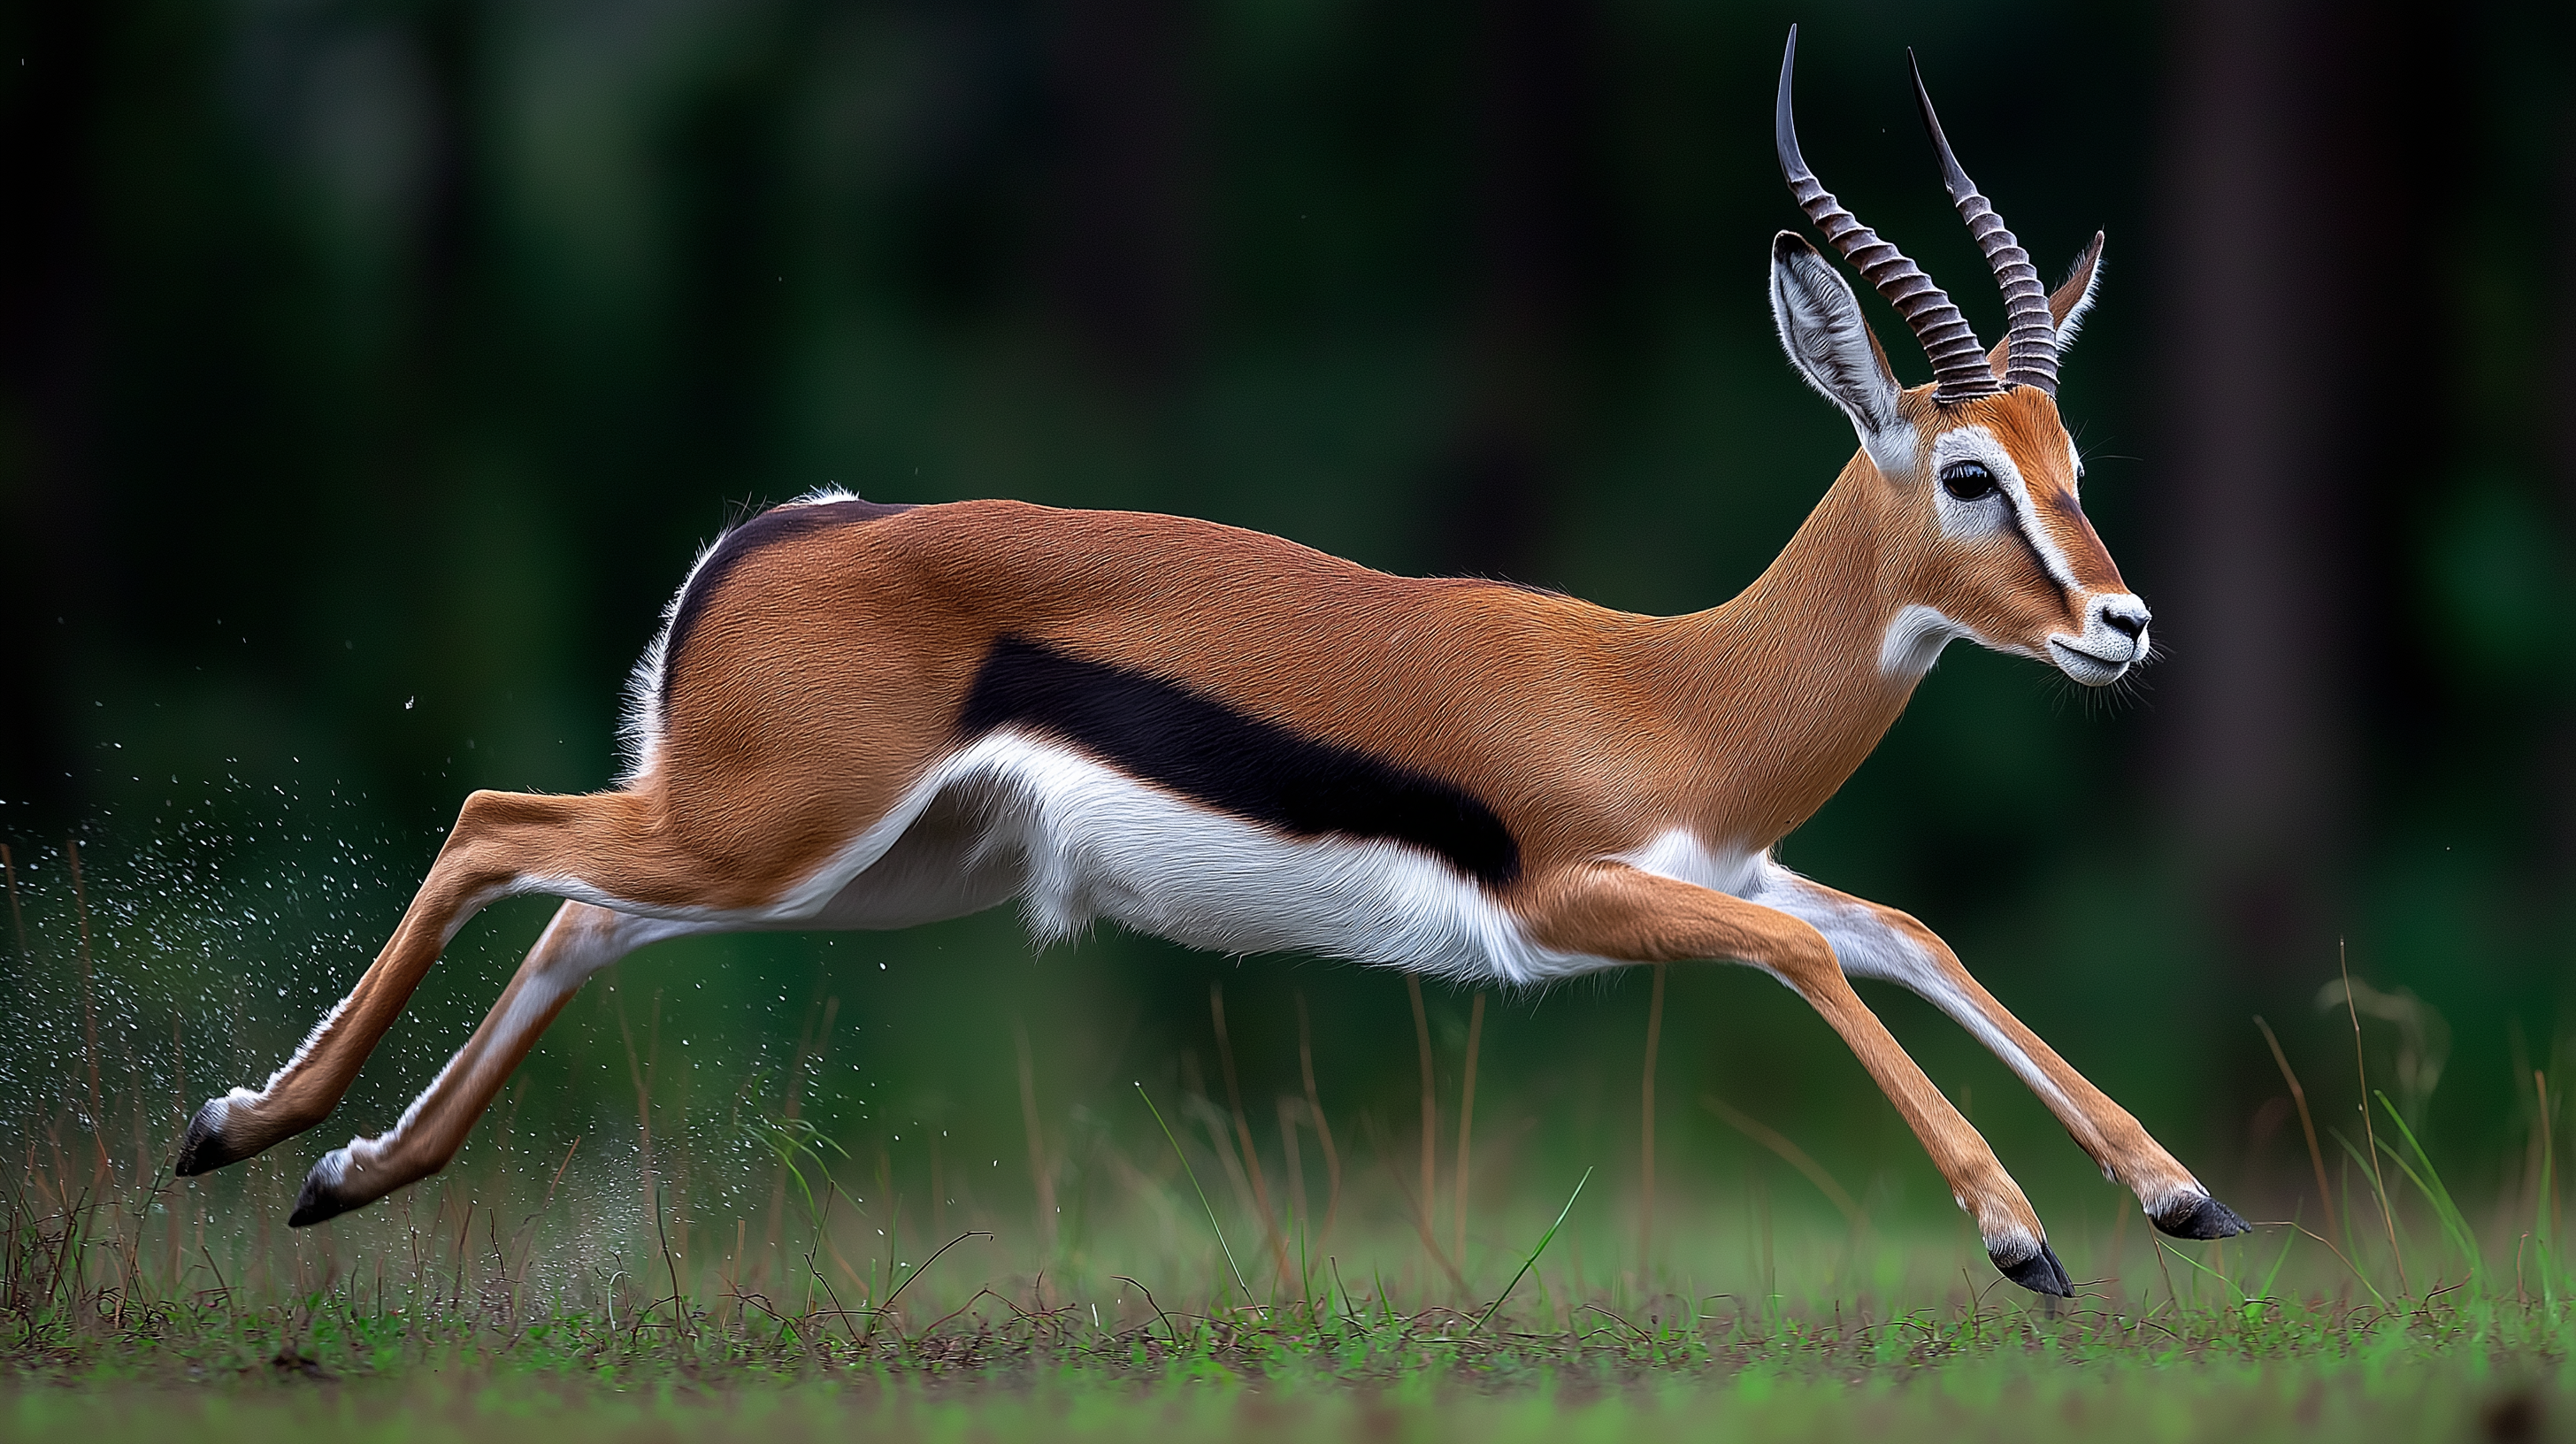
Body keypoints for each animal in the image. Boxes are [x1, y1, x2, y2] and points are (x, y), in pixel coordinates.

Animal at [173, 27, 2247, 1296]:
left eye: (2075, 461)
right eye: (1970, 473)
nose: (2123, 626)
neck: (1681, 694)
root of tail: (783, 536)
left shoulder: (1724, 864)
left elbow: (1908, 933)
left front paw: (2176, 1191)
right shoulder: (1582, 900)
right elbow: (1821, 957)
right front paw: (2021, 1242)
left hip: (847, 871)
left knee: (582, 913)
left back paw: (338, 1175)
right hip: (766, 835)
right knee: (489, 823)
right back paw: (238, 1129)